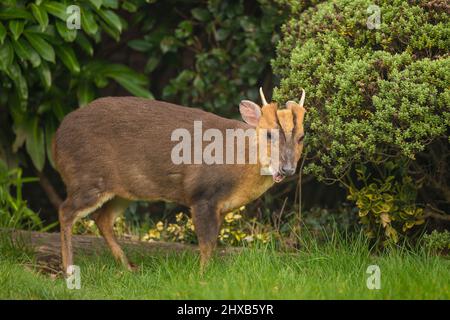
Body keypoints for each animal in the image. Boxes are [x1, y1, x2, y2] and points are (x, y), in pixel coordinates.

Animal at [52, 88, 306, 276]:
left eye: (302, 136)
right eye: (269, 134)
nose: (286, 169)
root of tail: (56, 140)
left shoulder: (221, 207)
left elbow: (212, 243)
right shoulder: (202, 195)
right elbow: (206, 244)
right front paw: (202, 276)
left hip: (121, 189)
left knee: (102, 218)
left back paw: (128, 267)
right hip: (87, 177)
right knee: (65, 211)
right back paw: (69, 270)